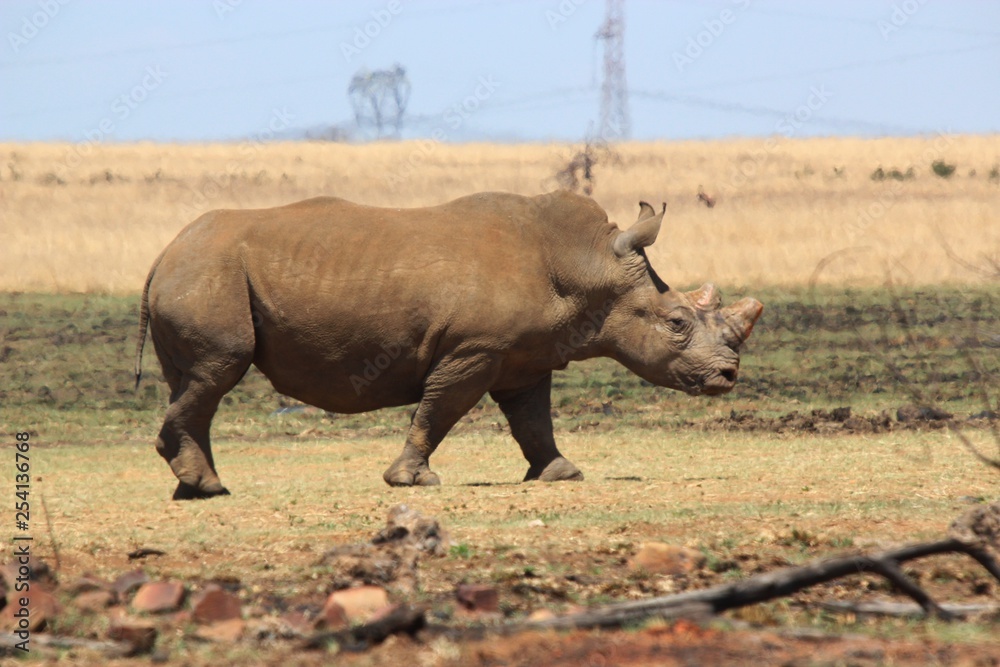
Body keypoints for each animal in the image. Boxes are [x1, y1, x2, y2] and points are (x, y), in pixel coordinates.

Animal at [135, 191, 763, 499]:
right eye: (677, 322)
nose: (727, 376)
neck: (587, 265)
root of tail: (164, 251)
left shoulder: (524, 356)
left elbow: (533, 419)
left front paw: (561, 475)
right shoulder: (474, 349)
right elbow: (439, 410)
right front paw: (412, 481)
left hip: (199, 270)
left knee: (194, 384)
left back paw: (200, 488)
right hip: (205, 274)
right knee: (218, 370)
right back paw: (207, 488)